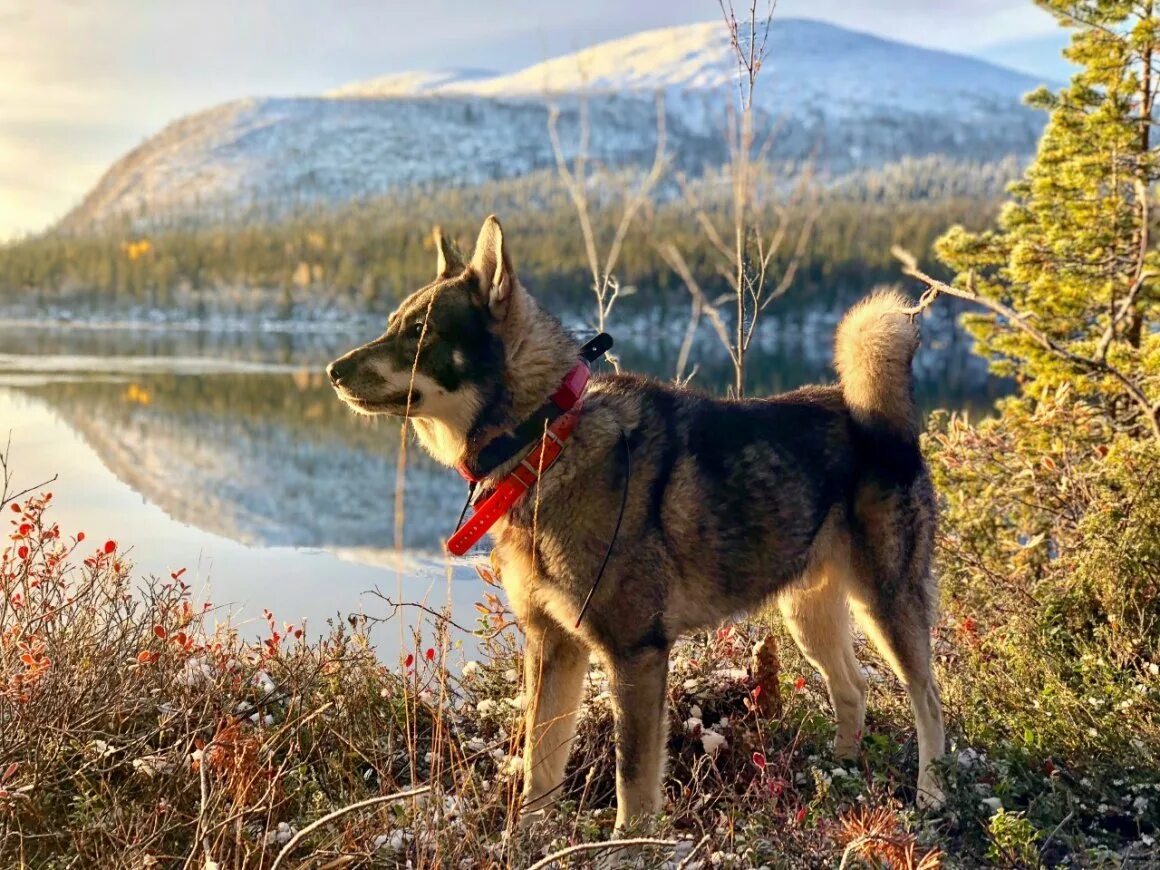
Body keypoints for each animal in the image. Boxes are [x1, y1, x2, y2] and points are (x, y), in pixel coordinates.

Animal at [331, 214, 946, 825]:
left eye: (420, 332)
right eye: (392, 324)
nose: (333, 370)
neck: (544, 439)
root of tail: (887, 423)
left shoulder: (636, 654)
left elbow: (633, 783)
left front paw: (628, 842)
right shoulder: (553, 645)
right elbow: (539, 766)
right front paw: (528, 837)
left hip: (887, 604)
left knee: (928, 701)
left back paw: (934, 796)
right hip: (809, 613)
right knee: (854, 689)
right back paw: (840, 777)